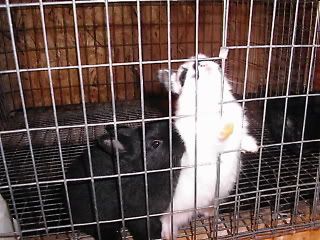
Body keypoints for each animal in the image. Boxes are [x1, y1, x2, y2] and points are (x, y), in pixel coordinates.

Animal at [158, 54, 260, 240]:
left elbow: (239, 139)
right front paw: (223, 131)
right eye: (183, 75)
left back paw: (214, 216)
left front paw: (252, 147)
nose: (201, 63)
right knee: (166, 220)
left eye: (204, 57)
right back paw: (168, 235)